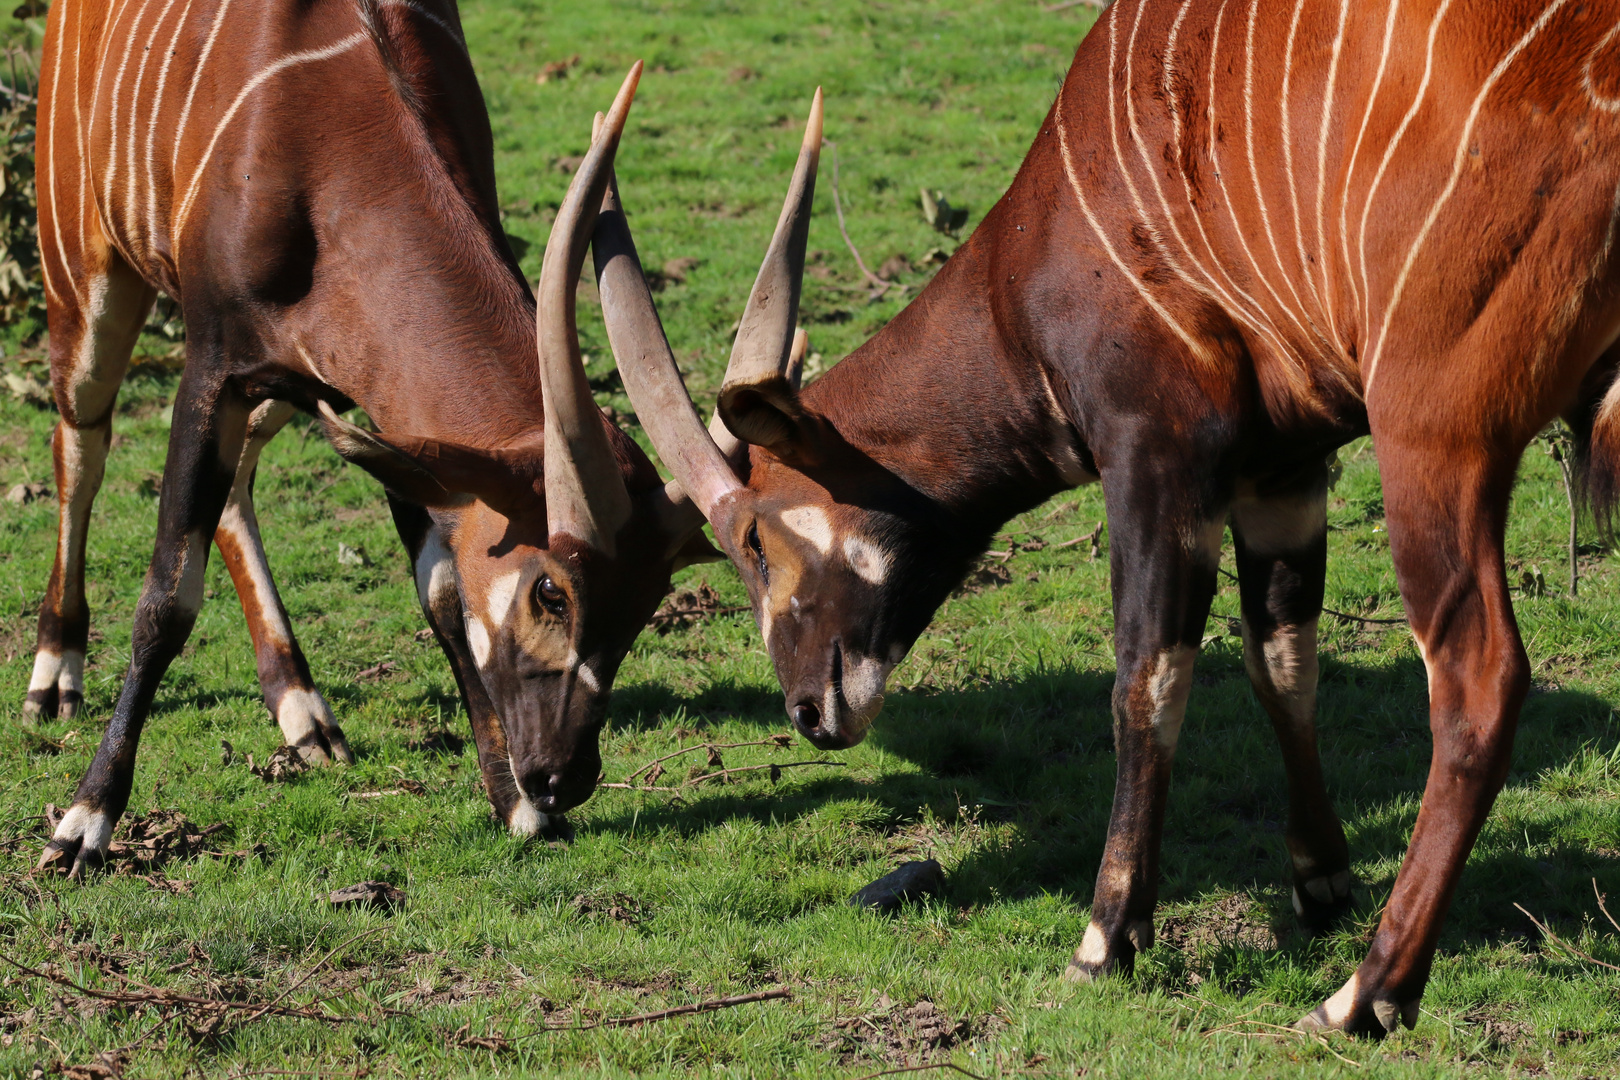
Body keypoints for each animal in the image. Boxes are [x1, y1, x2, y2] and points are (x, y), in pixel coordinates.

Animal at [23, 0, 816, 874]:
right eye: (551, 591)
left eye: (647, 604)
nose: (563, 776)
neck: (333, 152)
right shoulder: (214, 366)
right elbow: (167, 599)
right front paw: (83, 823)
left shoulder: (387, 421)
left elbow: (439, 590)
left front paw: (514, 807)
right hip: (86, 278)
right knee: (81, 441)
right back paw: (54, 675)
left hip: (282, 389)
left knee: (235, 485)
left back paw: (302, 710)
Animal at [602, 0, 1620, 1036]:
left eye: (758, 536)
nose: (809, 712)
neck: (1028, 261)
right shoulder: (1284, 471)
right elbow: (1282, 661)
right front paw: (1320, 881)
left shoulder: (1154, 455)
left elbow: (1146, 680)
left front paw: (1105, 942)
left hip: (1433, 436)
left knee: (1479, 678)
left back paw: (1364, 996)